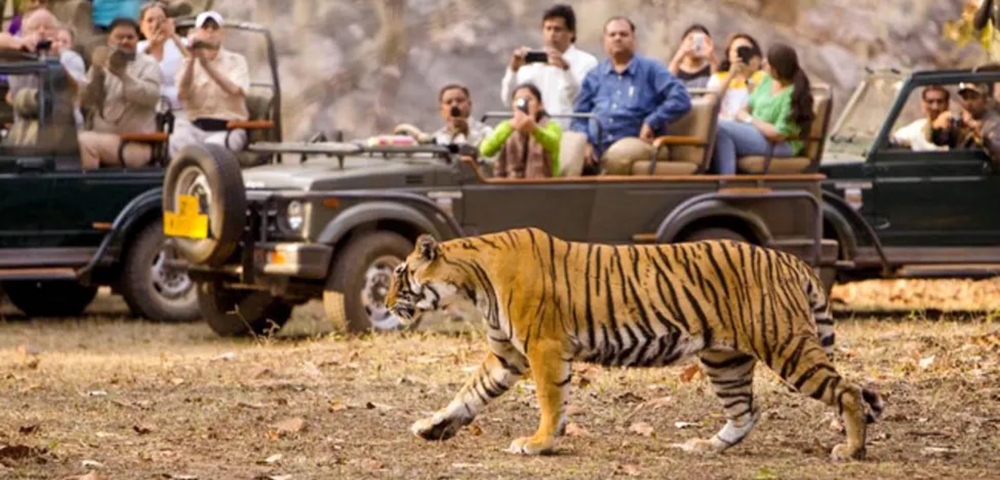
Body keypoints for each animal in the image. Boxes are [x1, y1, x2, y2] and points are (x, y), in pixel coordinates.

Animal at [382, 228, 884, 462]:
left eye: (400, 275)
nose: (385, 305)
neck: (472, 281)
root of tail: (790, 259)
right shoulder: (507, 354)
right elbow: (469, 393)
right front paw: (432, 426)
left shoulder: (543, 347)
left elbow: (549, 401)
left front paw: (539, 443)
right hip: (726, 358)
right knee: (746, 411)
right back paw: (704, 447)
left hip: (785, 344)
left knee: (847, 391)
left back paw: (852, 451)